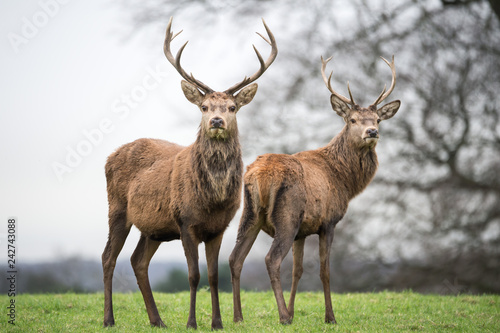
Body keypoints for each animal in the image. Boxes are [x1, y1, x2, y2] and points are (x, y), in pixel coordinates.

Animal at [101, 16, 278, 328]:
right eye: (204, 107)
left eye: (233, 107)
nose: (217, 121)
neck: (211, 200)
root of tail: (109, 157)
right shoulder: (185, 222)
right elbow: (193, 276)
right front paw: (192, 322)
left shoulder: (218, 227)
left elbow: (213, 276)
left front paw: (218, 322)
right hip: (117, 208)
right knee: (108, 257)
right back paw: (109, 319)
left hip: (154, 228)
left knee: (137, 261)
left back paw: (157, 321)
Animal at [229, 55, 398, 322]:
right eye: (352, 120)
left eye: (378, 119)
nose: (372, 132)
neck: (345, 181)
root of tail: (259, 174)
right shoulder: (328, 221)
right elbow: (324, 270)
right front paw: (329, 317)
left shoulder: (302, 231)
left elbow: (297, 271)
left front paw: (293, 311)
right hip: (286, 216)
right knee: (271, 259)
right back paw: (282, 317)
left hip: (249, 214)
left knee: (235, 259)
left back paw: (239, 317)